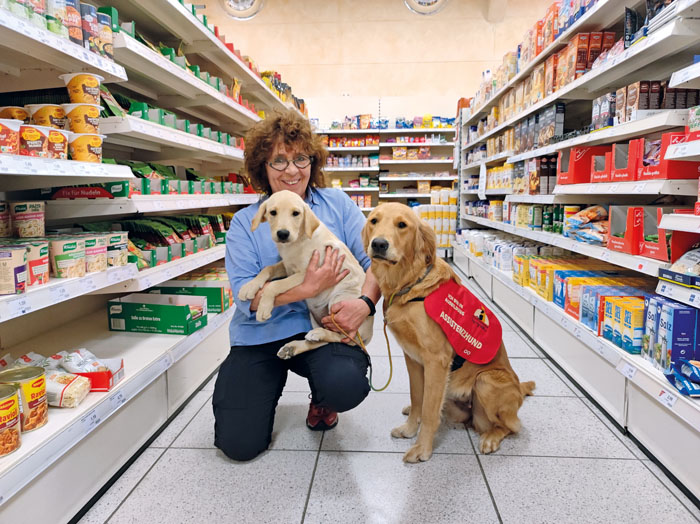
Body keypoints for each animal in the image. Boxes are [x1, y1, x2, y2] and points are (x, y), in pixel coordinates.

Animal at [239, 190, 374, 358]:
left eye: (296, 213)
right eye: (273, 212)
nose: (282, 234)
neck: (297, 240)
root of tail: (368, 335)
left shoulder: (306, 273)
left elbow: (275, 284)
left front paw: (264, 307)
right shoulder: (287, 265)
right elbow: (267, 269)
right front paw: (250, 287)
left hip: (340, 301)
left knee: (343, 337)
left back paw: (318, 334)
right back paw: (294, 346)